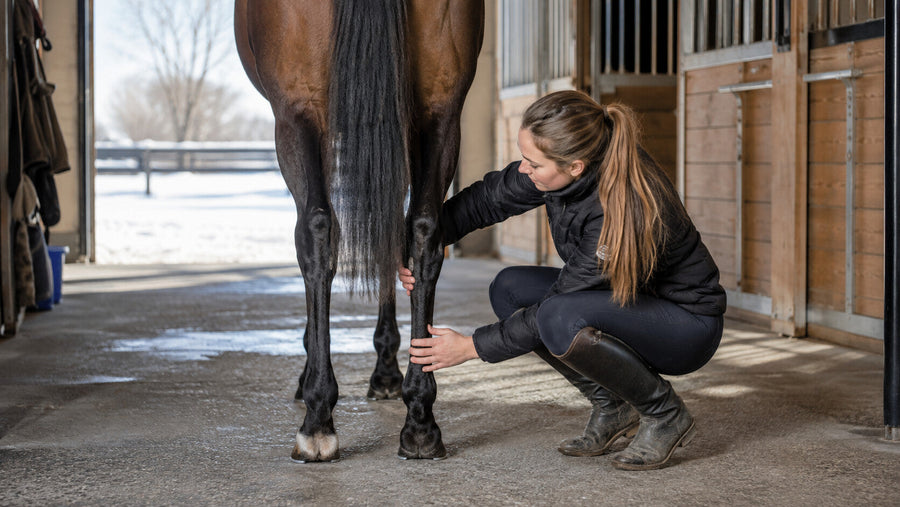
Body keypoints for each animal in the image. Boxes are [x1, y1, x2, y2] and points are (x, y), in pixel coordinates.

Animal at [234, 0, 484, 462]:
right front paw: (388, 373)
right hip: (441, 108)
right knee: (423, 230)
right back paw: (419, 421)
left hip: (297, 113)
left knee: (316, 229)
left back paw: (317, 419)